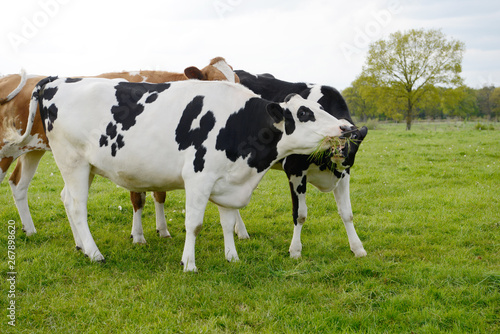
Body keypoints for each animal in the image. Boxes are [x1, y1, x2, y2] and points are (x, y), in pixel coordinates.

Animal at [0, 57, 238, 240]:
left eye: (238, 81)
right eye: (217, 83)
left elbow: (160, 194)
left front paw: (162, 230)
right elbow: (138, 198)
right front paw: (138, 236)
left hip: (33, 150)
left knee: (19, 184)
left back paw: (33, 230)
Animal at [13, 76, 354, 272]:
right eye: (305, 113)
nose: (345, 127)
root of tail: (59, 79)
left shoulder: (228, 182)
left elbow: (227, 223)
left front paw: (232, 257)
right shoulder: (198, 178)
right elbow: (195, 224)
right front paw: (188, 263)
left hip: (84, 167)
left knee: (66, 198)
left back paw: (81, 247)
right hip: (72, 161)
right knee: (77, 207)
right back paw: (94, 253)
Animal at [233, 70, 368, 258]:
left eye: (354, 141)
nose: (340, 152)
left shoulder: (344, 173)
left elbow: (347, 212)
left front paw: (357, 248)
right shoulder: (295, 171)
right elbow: (300, 214)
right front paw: (295, 250)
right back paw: (242, 231)